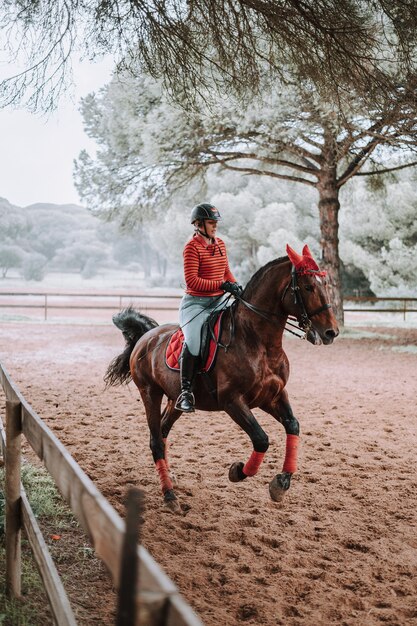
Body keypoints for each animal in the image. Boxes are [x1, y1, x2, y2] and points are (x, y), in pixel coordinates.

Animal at [104, 241, 338, 510]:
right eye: (308, 287)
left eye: (323, 285)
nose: (331, 332)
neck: (259, 342)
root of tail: (147, 336)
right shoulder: (232, 401)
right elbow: (261, 439)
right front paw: (238, 471)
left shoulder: (273, 396)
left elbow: (293, 426)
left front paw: (281, 483)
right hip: (150, 393)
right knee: (155, 440)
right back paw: (170, 495)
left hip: (174, 400)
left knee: (162, 433)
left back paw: (170, 479)